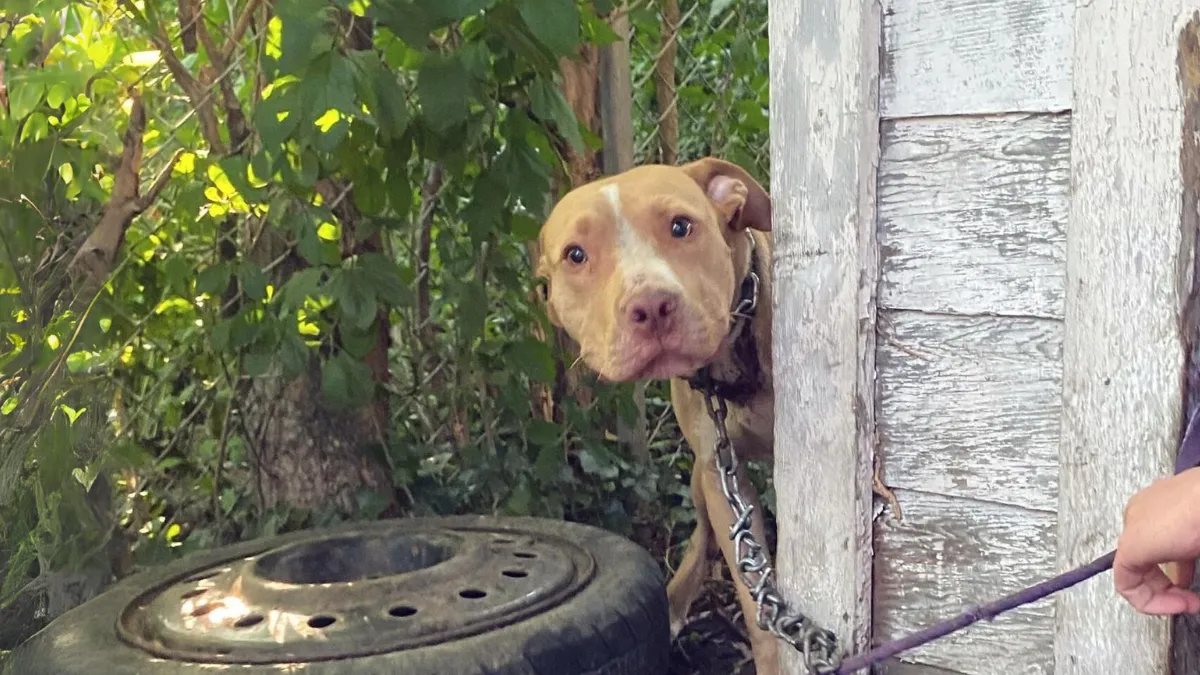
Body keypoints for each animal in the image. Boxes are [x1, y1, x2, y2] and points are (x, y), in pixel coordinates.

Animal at [532, 158, 777, 672]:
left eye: (681, 226)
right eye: (575, 255)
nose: (650, 305)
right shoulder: (721, 472)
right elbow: (754, 595)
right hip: (703, 479)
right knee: (704, 532)